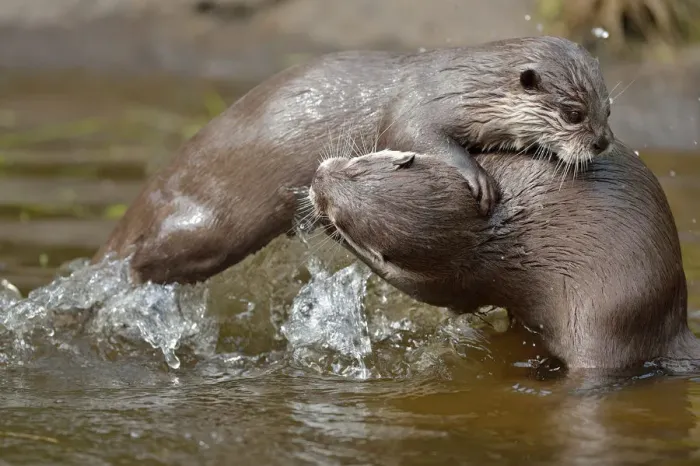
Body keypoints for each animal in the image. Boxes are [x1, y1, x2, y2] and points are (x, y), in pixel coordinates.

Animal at [95, 36, 613, 285]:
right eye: (573, 114)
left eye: (608, 109)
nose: (602, 143)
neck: (463, 87)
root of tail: (151, 192)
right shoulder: (417, 107)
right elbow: (419, 137)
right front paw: (477, 176)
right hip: (209, 224)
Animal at [308, 145, 699, 371]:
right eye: (357, 165)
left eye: (342, 218)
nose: (317, 177)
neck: (483, 225)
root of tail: (674, 321)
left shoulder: (458, 279)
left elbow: (422, 289)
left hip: (604, 320)